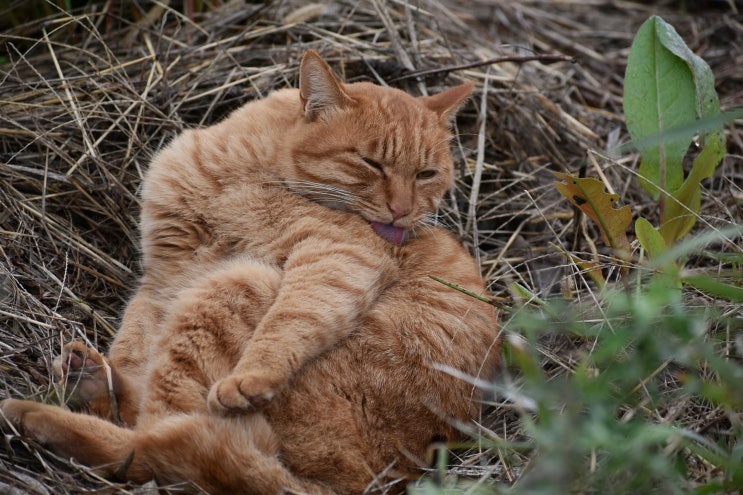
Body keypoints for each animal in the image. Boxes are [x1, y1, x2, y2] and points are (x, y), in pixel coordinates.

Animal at [1, 51, 500, 495]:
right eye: (370, 163)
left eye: (426, 174)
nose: (402, 212)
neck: (245, 171)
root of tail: (370, 482)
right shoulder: (163, 278)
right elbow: (133, 345)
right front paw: (113, 369)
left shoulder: (340, 255)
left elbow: (291, 323)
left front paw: (253, 377)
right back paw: (86, 379)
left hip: (239, 283)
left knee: (160, 445)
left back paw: (43, 415)